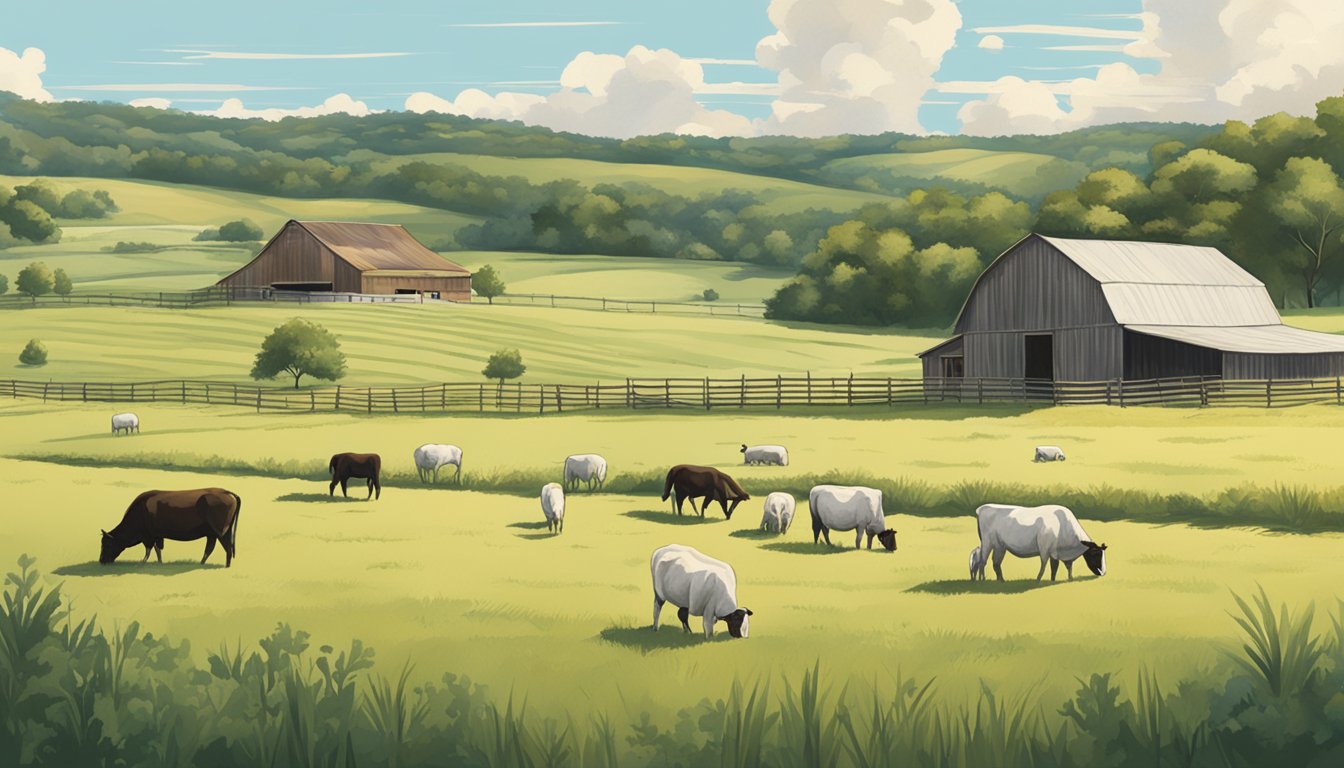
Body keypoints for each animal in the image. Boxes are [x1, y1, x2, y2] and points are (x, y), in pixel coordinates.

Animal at [99, 489, 241, 567]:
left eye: (107, 544)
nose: (101, 561)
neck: (140, 510)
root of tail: (228, 492)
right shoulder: (157, 536)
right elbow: (157, 549)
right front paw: (160, 562)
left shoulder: (148, 536)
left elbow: (149, 550)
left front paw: (141, 562)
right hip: (214, 533)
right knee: (211, 548)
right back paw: (202, 563)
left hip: (220, 532)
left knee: (226, 547)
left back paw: (225, 567)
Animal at [973, 503, 1107, 581]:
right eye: (1096, 554)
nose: (1104, 573)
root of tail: (982, 508)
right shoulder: (1044, 548)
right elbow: (1044, 564)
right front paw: (1038, 579)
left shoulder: (1055, 552)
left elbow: (1057, 566)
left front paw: (1064, 579)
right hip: (986, 542)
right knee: (983, 561)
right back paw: (982, 580)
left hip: (1000, 546)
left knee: (996, 563)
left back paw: (1001, 581)